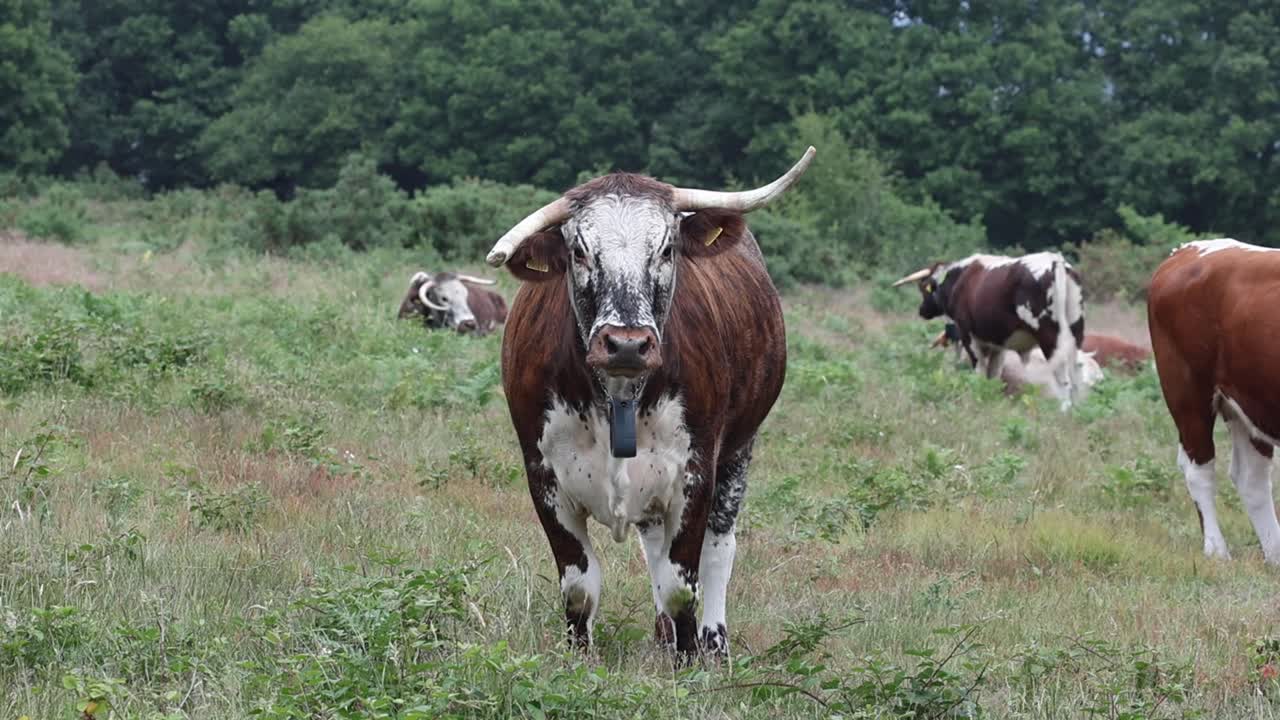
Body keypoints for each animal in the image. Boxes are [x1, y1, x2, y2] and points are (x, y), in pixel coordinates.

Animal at [484, 147, 815, 657]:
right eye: (579, 251)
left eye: (666, 249)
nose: (626, 344)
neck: (618, 399)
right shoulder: (543, 478)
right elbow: (580, 587)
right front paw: (579, 659)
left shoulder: (696, 473)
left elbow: (681, 583)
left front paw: (689, 657)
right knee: (654, 546)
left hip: (739, 450)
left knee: (719, 548)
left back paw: (712, 642)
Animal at [893, 252, 1086, 410]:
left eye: (924, 289)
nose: (922, 310)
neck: (961, 278)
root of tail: (1055, 261)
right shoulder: (998, 345)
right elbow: (993, 376)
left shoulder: (969, 336)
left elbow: (979, 371)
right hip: (1075, 337)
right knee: (1076, 377)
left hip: (1050, 339)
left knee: (1063, 380)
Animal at [1148, 238, 1280, 565]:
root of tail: (1189, 249)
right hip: (1187, 391)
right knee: (1200, 469)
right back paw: (1217, 551)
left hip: (1250, 403)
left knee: (1252, 478)